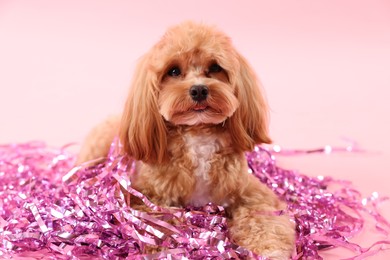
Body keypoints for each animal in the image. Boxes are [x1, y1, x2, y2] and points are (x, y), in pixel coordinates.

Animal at [77, 21, 294, 258]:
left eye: (215, 67)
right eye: (173, 71)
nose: (199, 90)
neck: (198, 136)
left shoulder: (251, 192)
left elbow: (263, 220)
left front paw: (270, 248)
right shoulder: (145, 195)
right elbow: (157, 221)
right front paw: (163, 245)